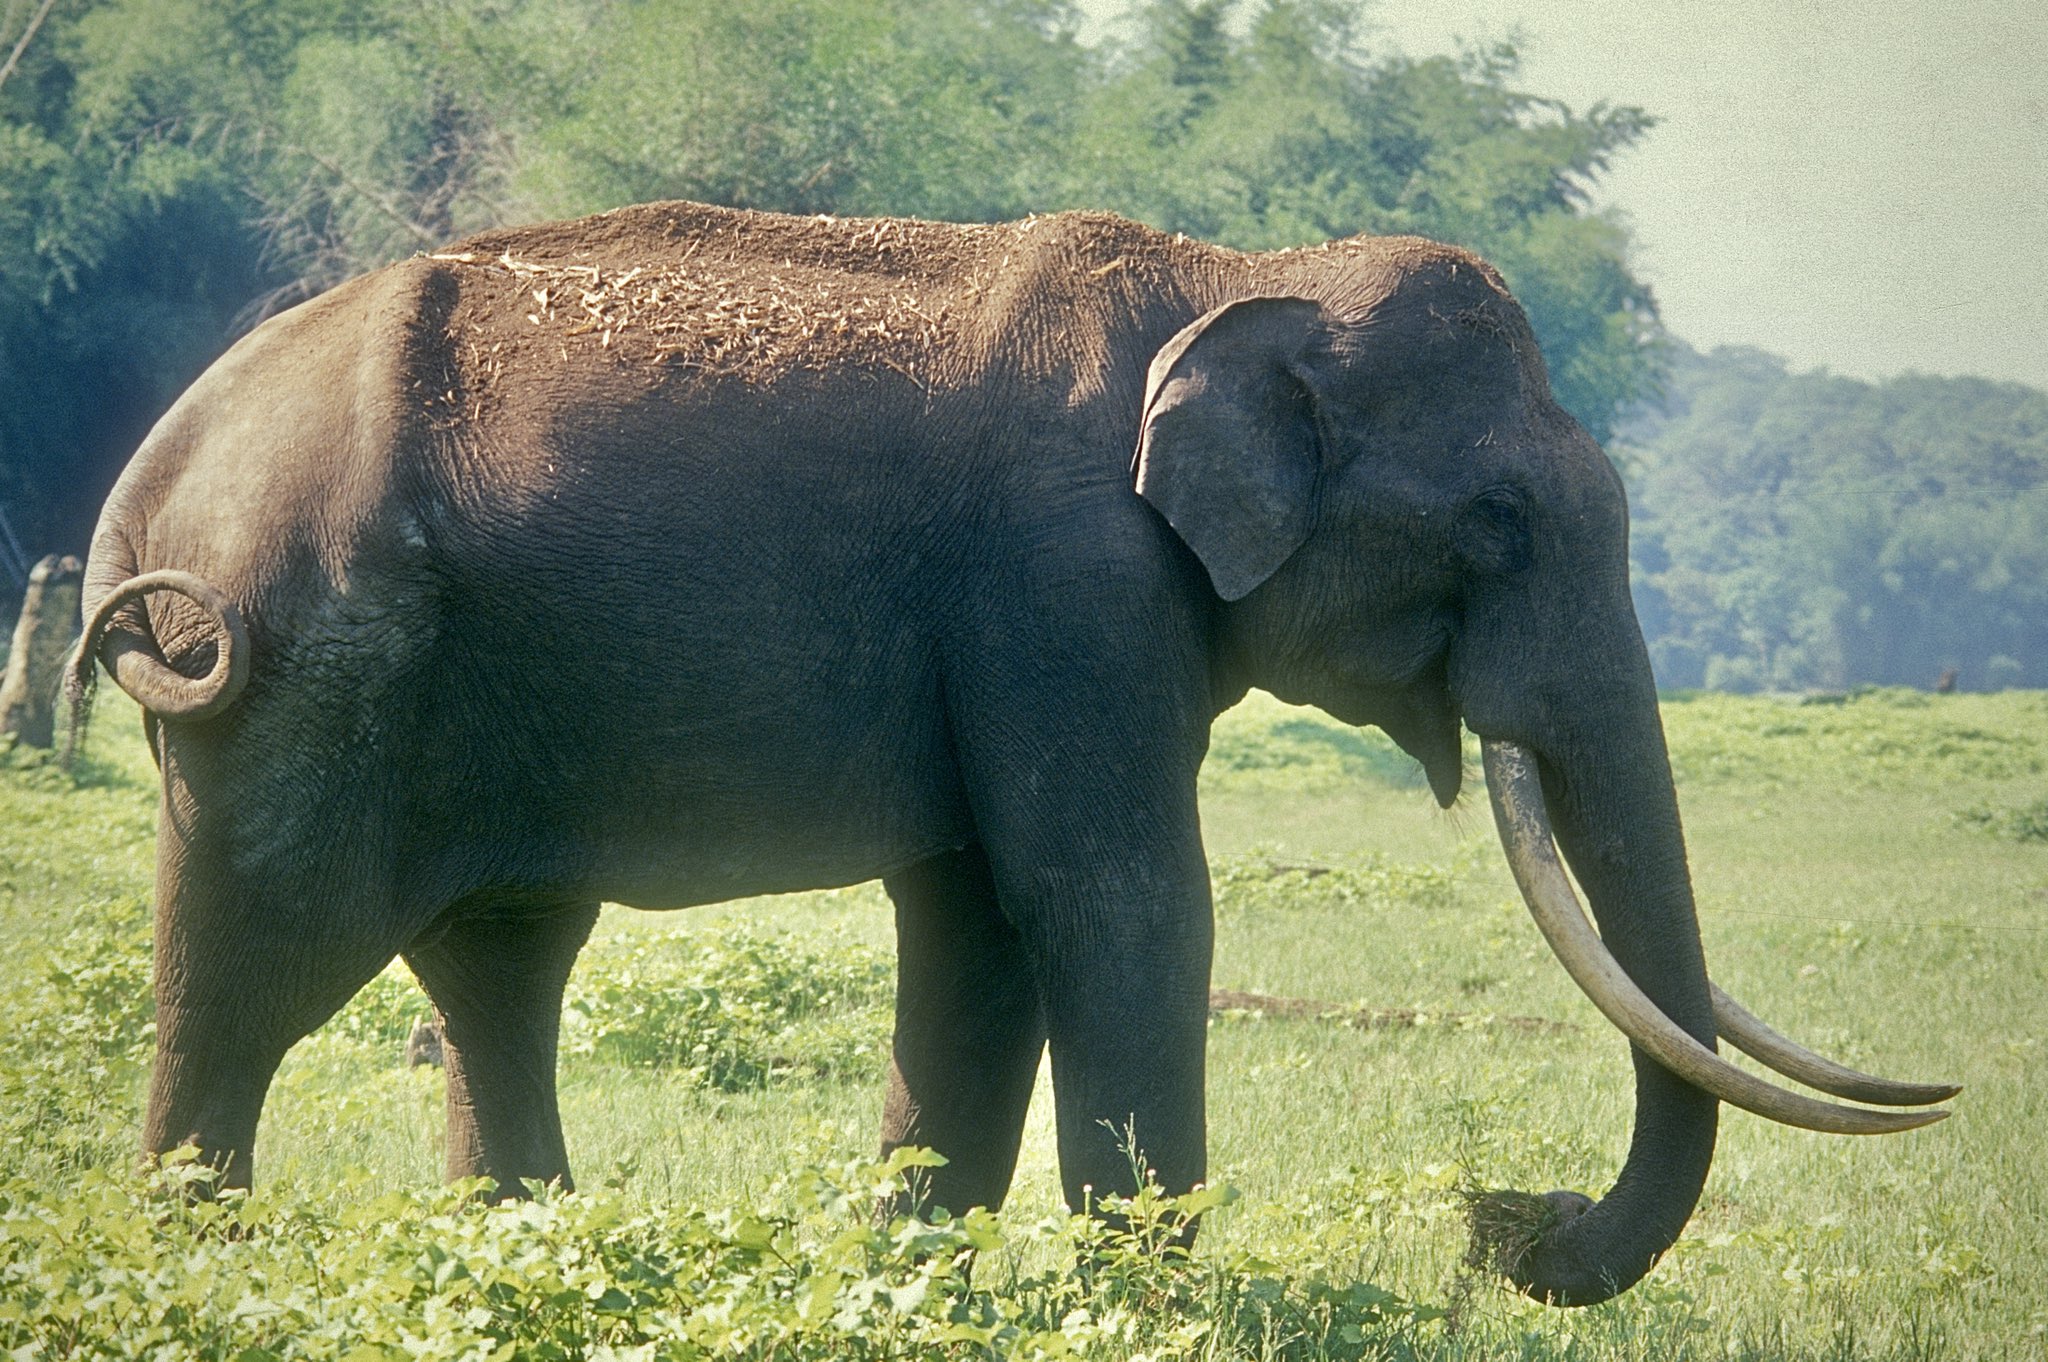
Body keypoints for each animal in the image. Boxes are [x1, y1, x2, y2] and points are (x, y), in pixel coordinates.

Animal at [64, 196, 1949, 1302]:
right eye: (1496, 523)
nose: (1506, 1222)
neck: (1230, 276)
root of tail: (149, 474)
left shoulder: (1030, 627)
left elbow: (977, 922)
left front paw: (918, 1280)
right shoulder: (1066, 580)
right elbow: (1113, 898)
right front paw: (1156, 1305)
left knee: (500, 962)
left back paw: (519, 1253)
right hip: (302, 667)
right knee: (254, 965)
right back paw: (192, 1278)